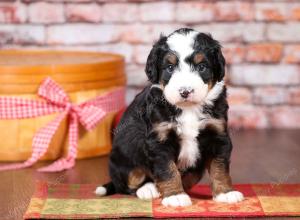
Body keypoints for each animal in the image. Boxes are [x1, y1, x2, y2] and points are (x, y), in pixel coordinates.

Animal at [96, 28, 244, 207]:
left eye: (202, 66)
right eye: (170, 67)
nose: (185, 91)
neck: (188, 108)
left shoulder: (218, 134)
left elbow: (219, 167)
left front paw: (225, 193)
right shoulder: (160, 139)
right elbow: (168, 169)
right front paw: (175, 196)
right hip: (124, 157)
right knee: (127, 184)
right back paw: (148, 190)